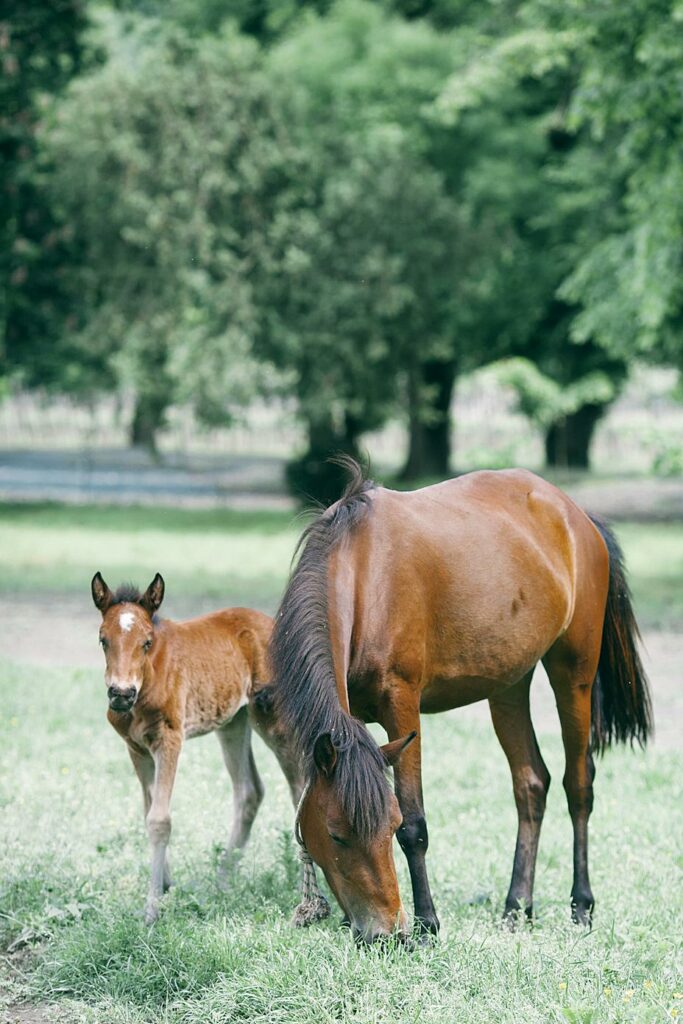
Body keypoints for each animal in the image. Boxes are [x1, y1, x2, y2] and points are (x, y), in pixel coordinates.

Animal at [91, 572, 329, 925]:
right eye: (103, 639)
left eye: (147, 642)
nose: (121, 693)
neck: (149, 680)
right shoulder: (136, 749)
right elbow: (149, 811)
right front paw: (166, 887)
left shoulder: (169, 739)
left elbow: (160, 819)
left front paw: (152, 908)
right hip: (234, 722)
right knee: (249, 792)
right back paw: (222, 880)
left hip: (274, 721)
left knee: (298, 788)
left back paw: (305, 893)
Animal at [269, 462, 653, 943]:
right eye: (336, 835)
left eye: (389, 826)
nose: (384, 933)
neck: (363, 575)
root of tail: (577, 516)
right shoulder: (349, 720)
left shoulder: (402, 704)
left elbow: (416, 823)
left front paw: (427, 924)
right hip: (508, 685)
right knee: (531, 784)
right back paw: (516, 907)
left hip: (573, 674)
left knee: (578, 785)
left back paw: (581, 906)